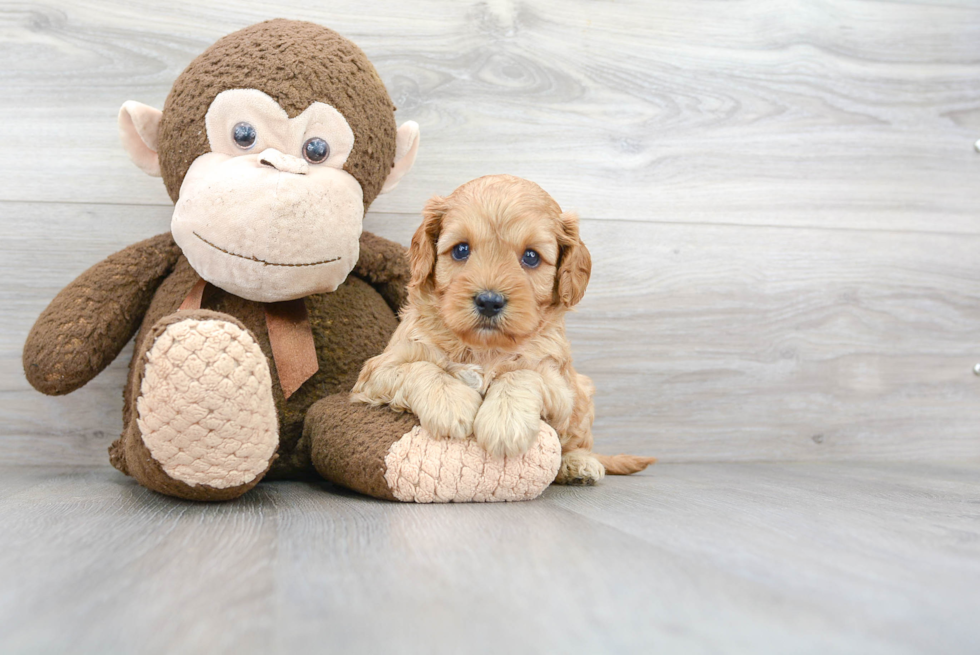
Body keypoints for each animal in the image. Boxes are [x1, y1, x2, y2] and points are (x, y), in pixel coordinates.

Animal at [348, 174, 656, 486]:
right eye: (461, 250)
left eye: (531, 256)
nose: (489, 301)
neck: (484, 349)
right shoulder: (377, 371)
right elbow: (422, 368)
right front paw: (451, 404)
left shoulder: (558, 384)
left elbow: (521, 374)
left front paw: (505, 424)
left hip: (582, 393)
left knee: (575, 443)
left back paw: (578, 464)